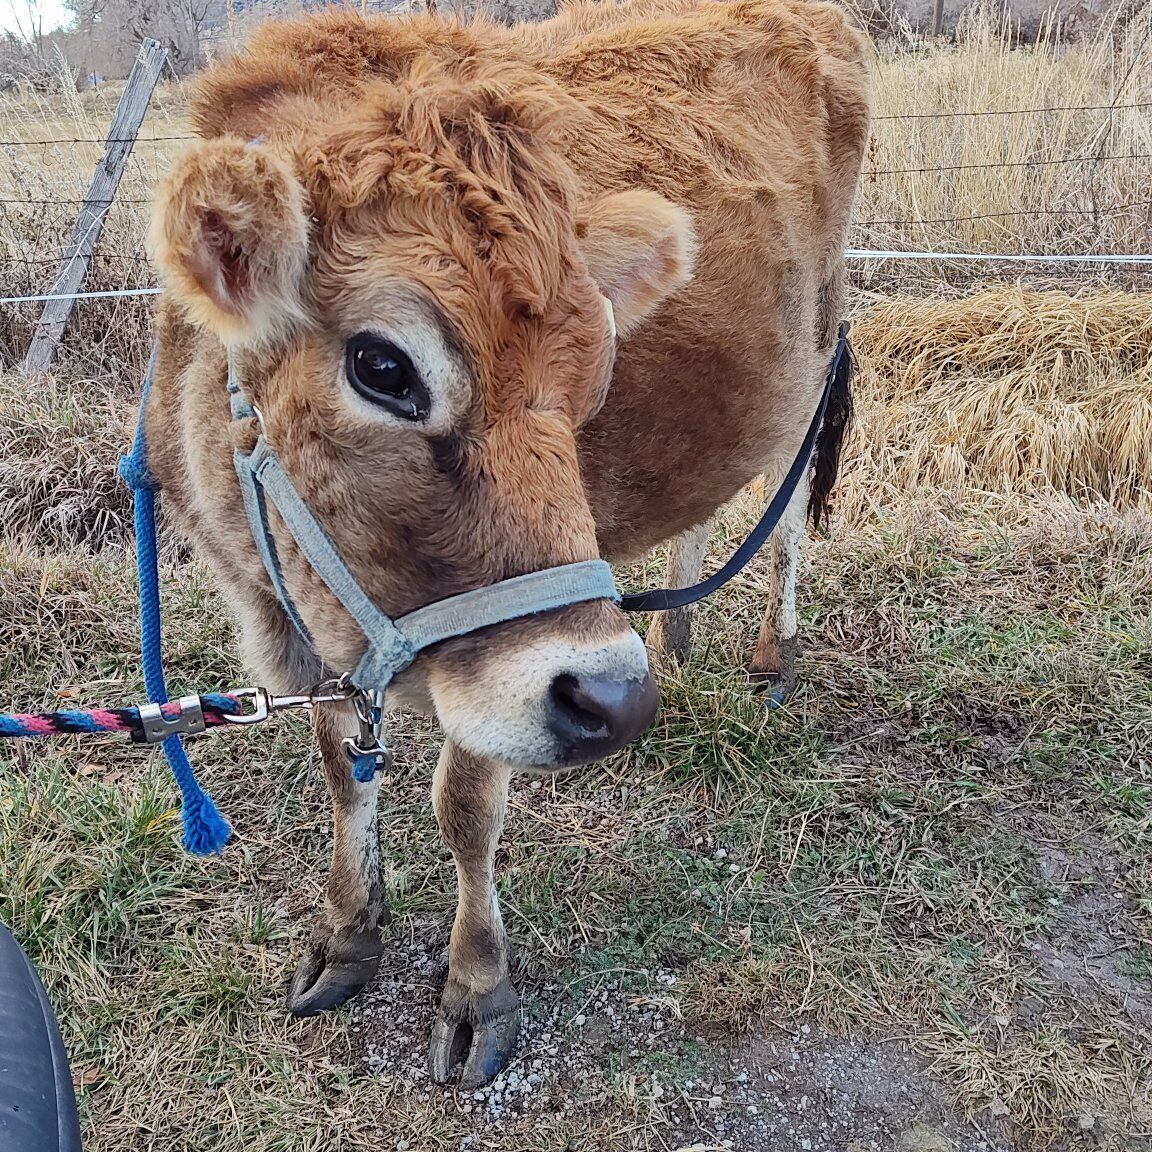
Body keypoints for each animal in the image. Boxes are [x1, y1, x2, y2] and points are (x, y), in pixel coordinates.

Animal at [144, 0, 870, 1088]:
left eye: (593, 375)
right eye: (383, 366)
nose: (614, 701)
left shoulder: (490, 684)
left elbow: (464, 806)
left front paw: (477, 988)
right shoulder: (292, 631)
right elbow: (340, 769)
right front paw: (347, 933)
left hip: (811, 364)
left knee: (782, 516)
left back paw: (769, 653)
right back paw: (675, 641)